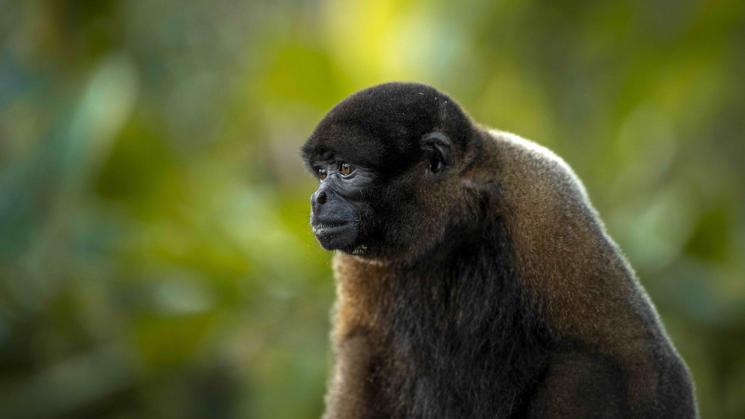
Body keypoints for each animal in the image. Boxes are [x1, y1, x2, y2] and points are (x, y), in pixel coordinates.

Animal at [301, 82, 697, 418]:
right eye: (321, 172)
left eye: (345, 169)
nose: (317, 199)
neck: (454, 220)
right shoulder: (357, 259)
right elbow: (362, 349)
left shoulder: (545, 200)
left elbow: (641, 358)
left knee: (582, 368)